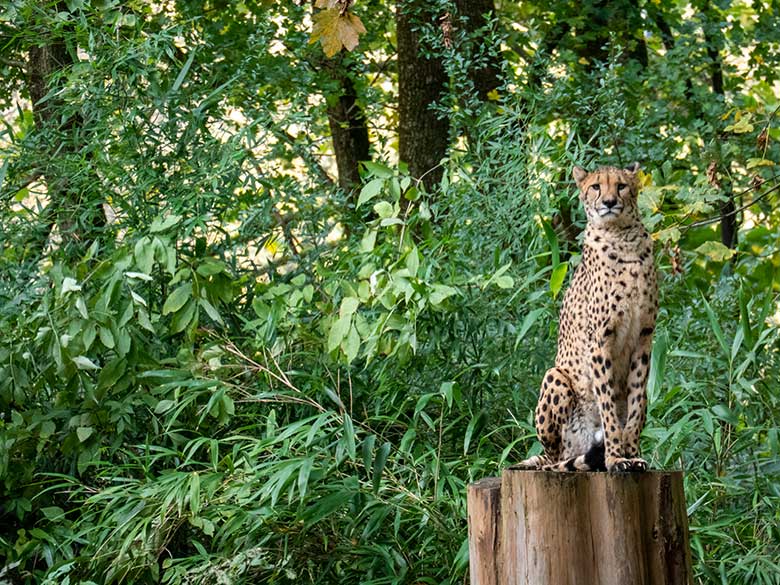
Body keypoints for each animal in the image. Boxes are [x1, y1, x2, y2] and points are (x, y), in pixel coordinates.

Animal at [516, 162, 660, 472]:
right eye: (596, 186)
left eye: (621, 186)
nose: (609, 202)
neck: (623, 237)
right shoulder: (600, 340)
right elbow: (607, 403)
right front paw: (616, 456)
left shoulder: (644, 337)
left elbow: (635, 401)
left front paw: (631, 451)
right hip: (555, 376)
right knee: (555, 458)